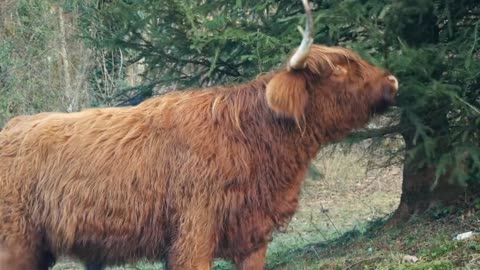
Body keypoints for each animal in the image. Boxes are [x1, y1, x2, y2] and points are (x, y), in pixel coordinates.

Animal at [0, 1, 400, 268]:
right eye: (339, 69)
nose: (394, 80)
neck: (251, 139)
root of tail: (11, 127)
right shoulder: (193, 236)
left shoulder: (252, 238)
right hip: (15, 246)